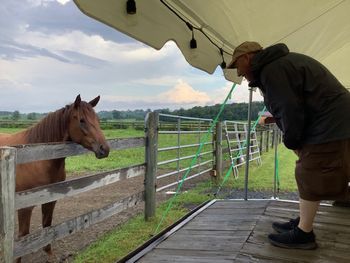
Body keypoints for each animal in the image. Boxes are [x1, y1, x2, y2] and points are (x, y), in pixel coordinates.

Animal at [0, 95, 108, 263]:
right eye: (82, 120)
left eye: (98, 119)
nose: (104, 149)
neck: (38, 157)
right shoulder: (24, 207)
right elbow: (23, 235)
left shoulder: (50, 199)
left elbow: (47, 225)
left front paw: (49, 253)